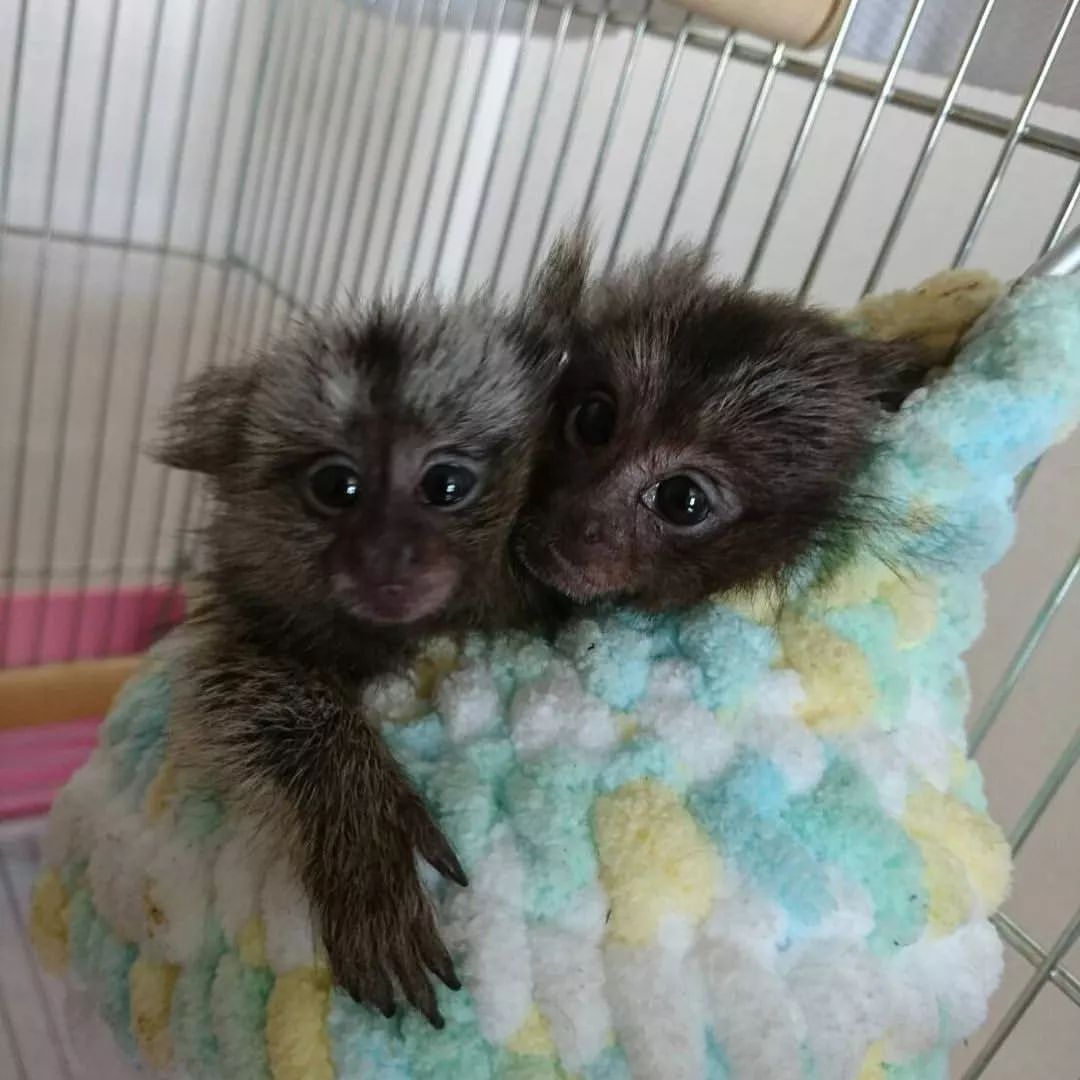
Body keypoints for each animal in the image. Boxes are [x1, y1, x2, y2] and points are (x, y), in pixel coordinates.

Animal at [156, 296, 561, 1028]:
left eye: (447, 484)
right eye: (336, 486)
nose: (386, 553)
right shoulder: (245, 623)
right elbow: (232, 695)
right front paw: (362, 830)